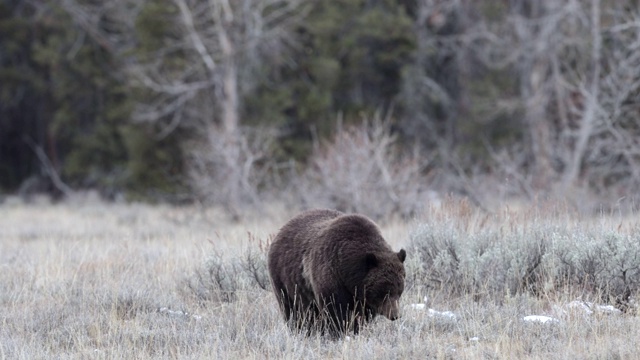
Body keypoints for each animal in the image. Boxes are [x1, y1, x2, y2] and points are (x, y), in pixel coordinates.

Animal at [268, 208, 408, 338]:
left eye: (399, 291)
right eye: (385, 291)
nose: (395, 315)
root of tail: (282, 228)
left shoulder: (363, 298)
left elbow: (363, 316)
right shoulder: (331, 277)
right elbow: (336, 311)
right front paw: (340, 332)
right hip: (284, 281)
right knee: (292, 310)